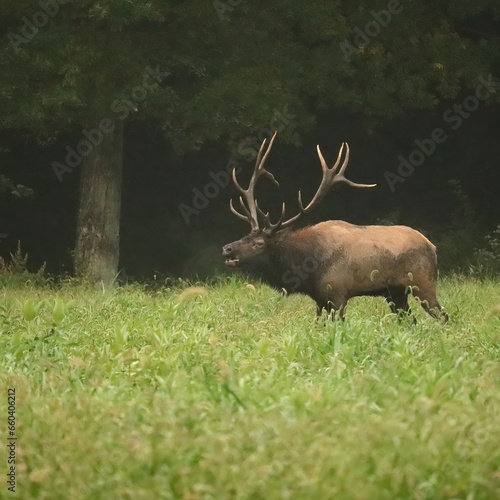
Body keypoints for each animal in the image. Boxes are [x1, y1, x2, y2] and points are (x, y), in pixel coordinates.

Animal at [223, 131, 450, 322]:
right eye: (246, 235)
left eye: (259, 243)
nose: (227, 248)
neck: (307, 268)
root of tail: (433, 246)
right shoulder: (320, 299)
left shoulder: (338, 294)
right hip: (395, 292)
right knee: (411, 320)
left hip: (423, 283)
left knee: (444, 316)